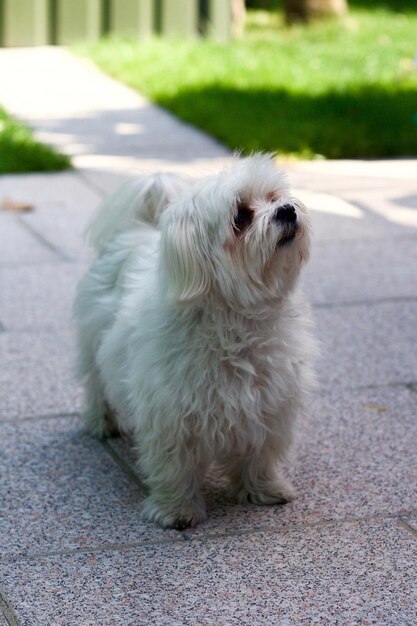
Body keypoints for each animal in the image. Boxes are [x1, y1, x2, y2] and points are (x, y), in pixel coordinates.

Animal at [75, 152, 316, 528]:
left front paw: (263, 489)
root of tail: (136, 229)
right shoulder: (170, 413)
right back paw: (103, 422)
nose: (287, 210)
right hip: (93, 342)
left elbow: (260, 455)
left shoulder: (269, 403)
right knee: (96, 384)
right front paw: (177, 509)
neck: (238, 320)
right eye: (241, 216)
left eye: (274, 197)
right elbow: (174, 466)